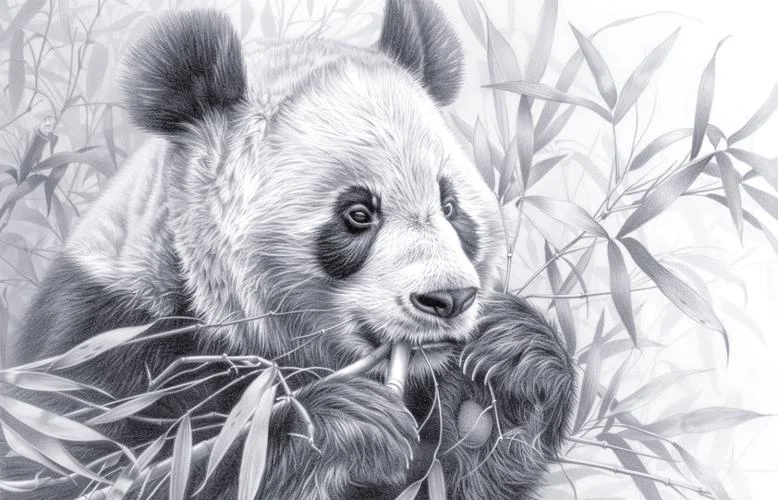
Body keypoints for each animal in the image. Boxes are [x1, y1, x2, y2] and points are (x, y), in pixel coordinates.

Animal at [3, 1, 576, 499]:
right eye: (358, 214)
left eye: (450, 205)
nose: (449, 298)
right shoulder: (104, 346)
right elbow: (86, 469)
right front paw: (345, 425)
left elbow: (452, 472)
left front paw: (513, 361)